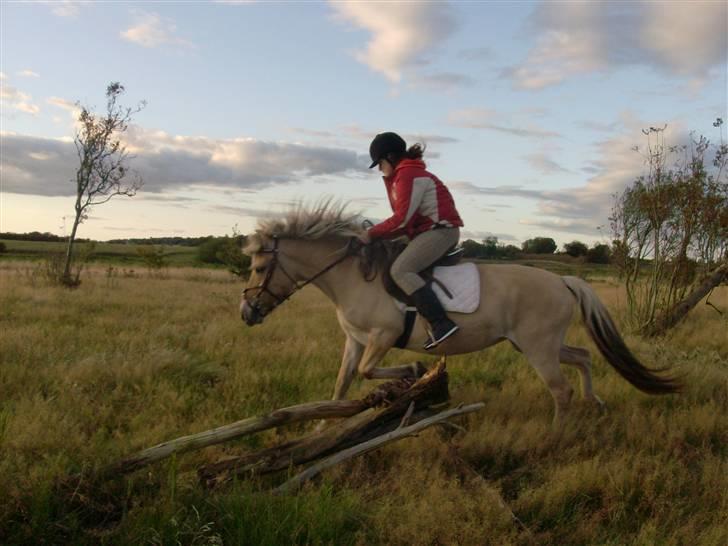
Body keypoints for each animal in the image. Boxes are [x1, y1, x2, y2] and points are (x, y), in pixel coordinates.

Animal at [240, 202, 684, 422]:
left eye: (259, 268)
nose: (247, 313)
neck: (353, 277)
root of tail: (564, 282)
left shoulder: (383, 336)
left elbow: (368, 373)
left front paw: (415, 371)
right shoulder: (355, 341)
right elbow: (342, 386)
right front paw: (320, 426)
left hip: (538, 348)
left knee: (561, 390)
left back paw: (557, 437)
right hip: (538, 344)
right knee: (584, 357)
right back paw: (596, 404)